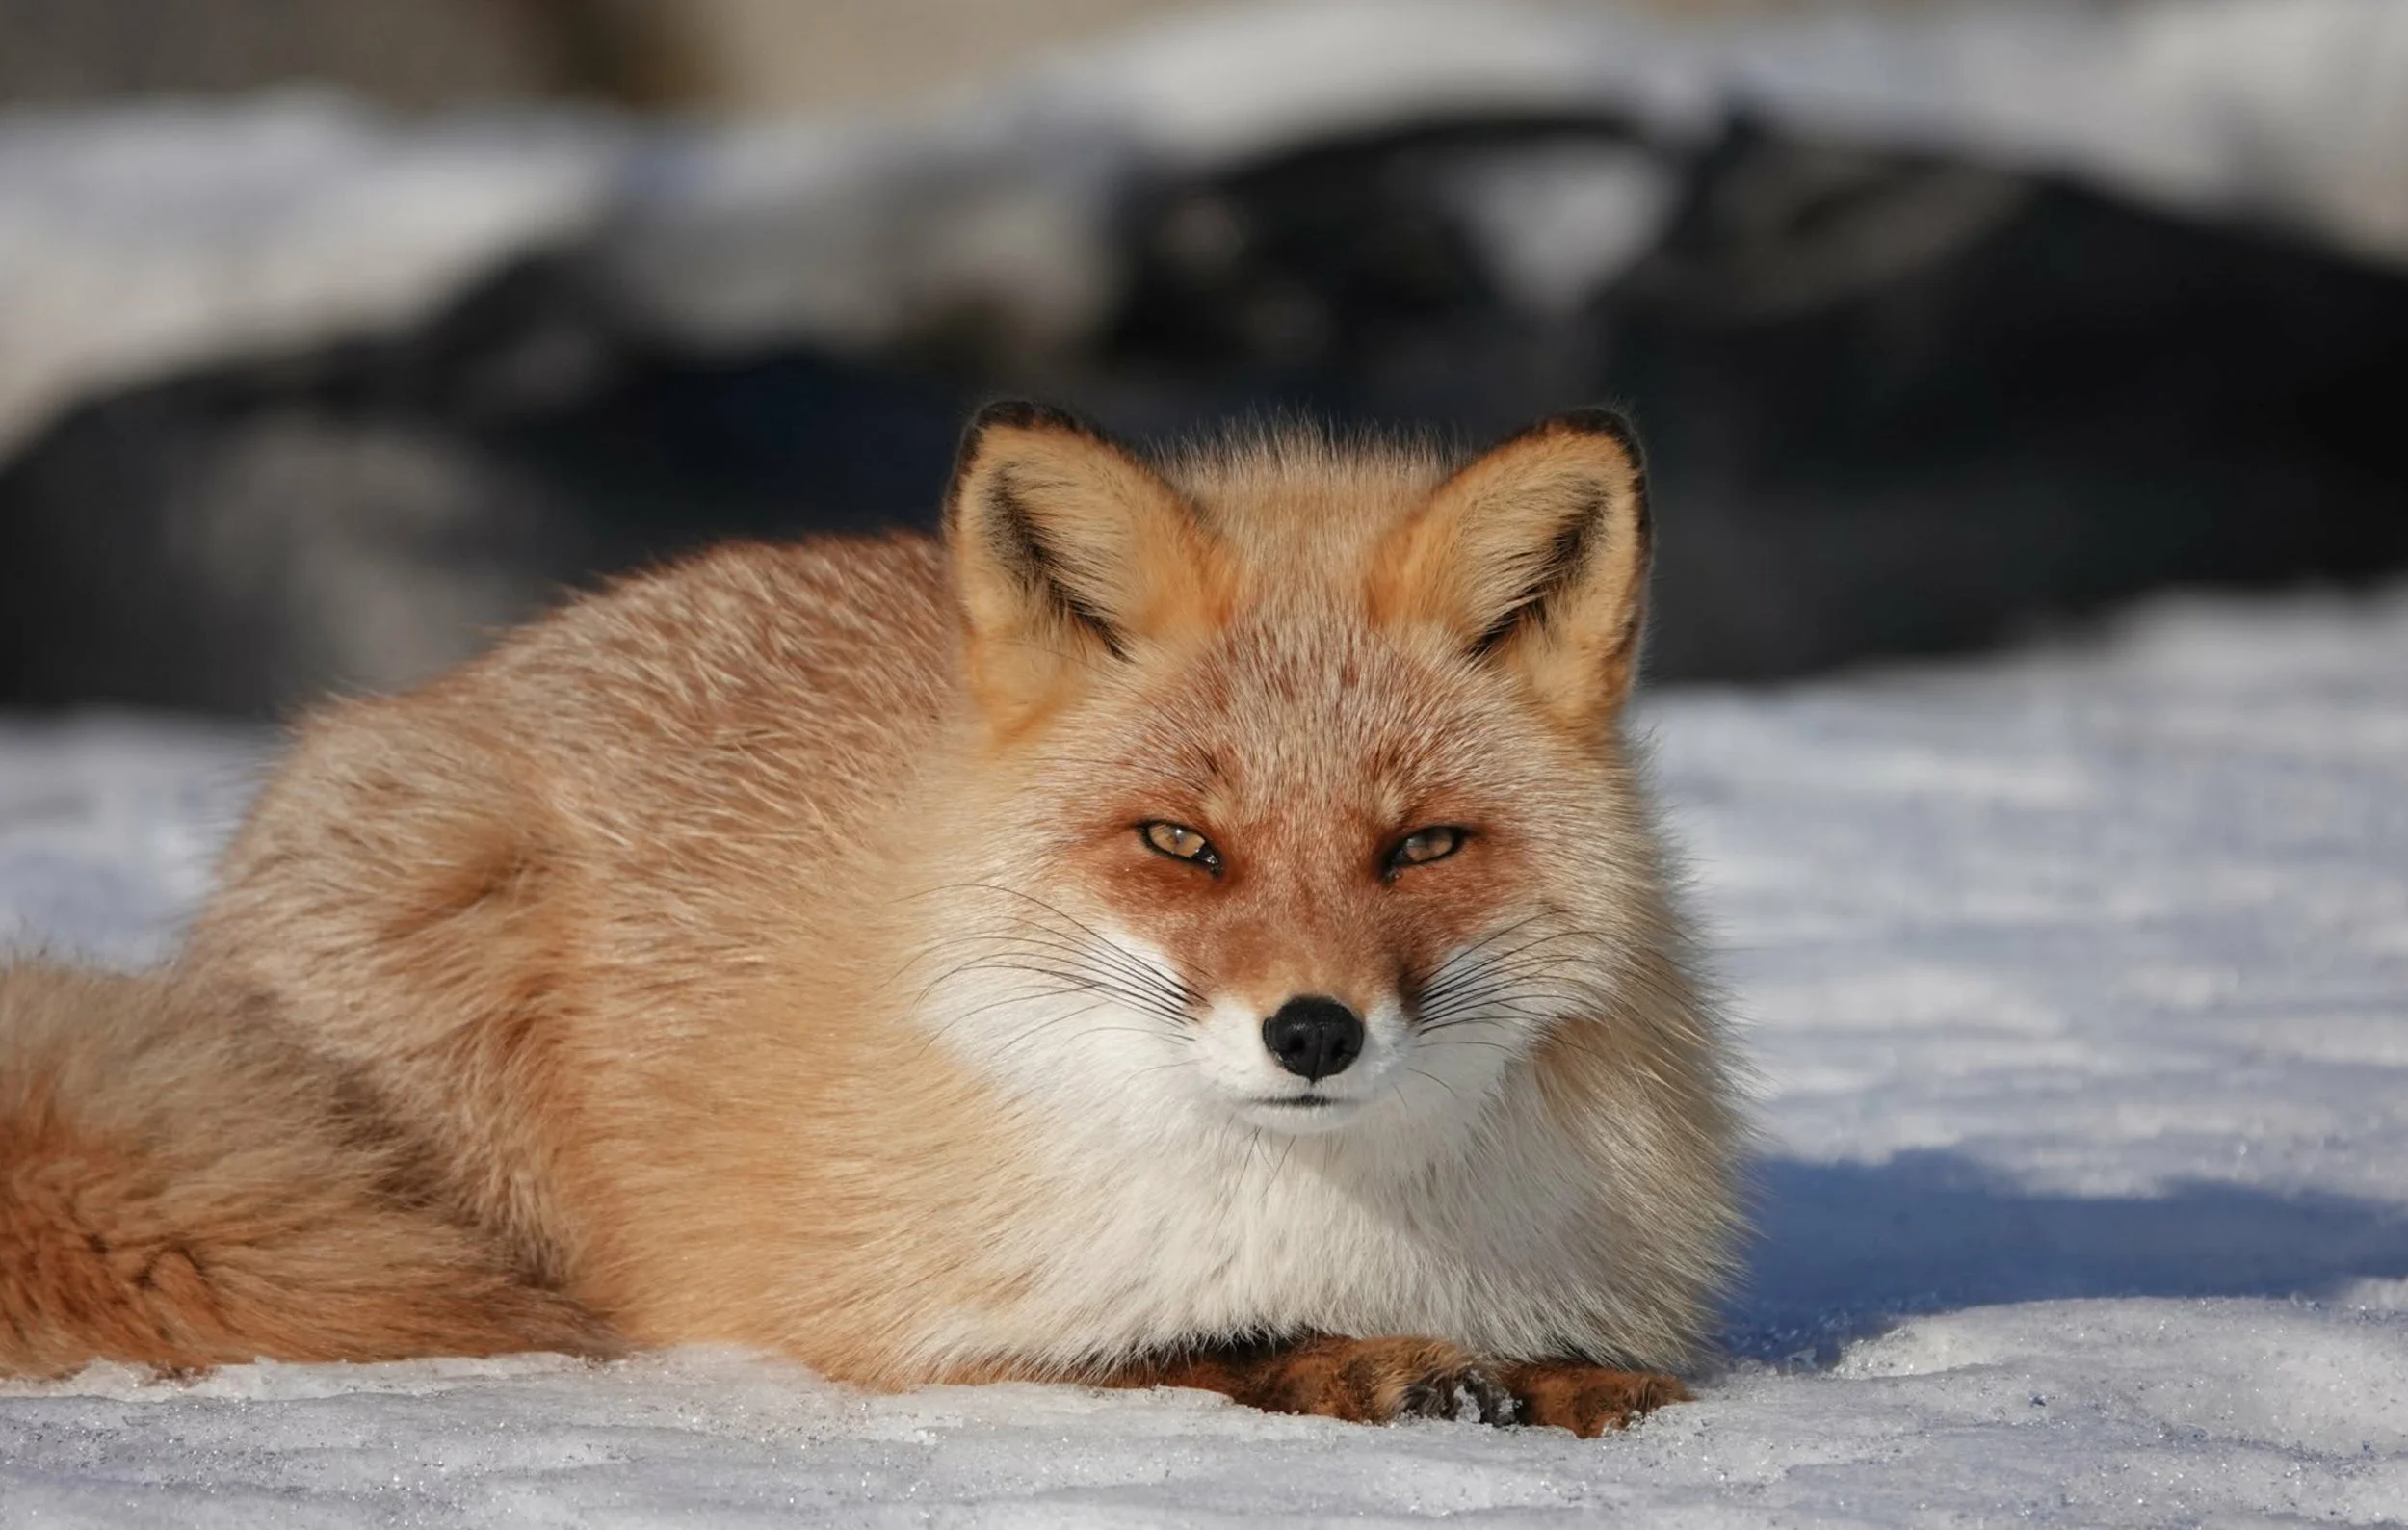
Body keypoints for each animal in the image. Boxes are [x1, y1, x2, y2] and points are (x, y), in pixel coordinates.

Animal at [0, 403, 1742, 1436]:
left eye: (1423, 844)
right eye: (1181, 843)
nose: (1311, 1032)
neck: (1319, 1219)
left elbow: (1610, 1370)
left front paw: (1529, 1382)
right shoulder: (919, 1329)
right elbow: (1179, 1353)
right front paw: (1371, 1366)